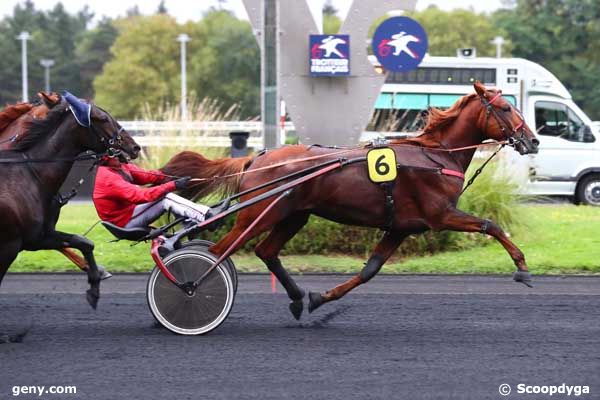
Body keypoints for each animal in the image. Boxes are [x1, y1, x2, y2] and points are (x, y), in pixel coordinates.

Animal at [0, 92, 141, 310]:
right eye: (103, 118)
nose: (135, 147)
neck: (29, 172)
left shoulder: (36, 237)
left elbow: (83, 242)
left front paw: (94, 285)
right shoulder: (10, 244)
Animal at [163, 82, 540, 318]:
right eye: (505, 107)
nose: (533, 141)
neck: (435, 156)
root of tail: (257, 158)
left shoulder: (401, 227)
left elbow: (369, 270)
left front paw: (319, 298)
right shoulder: (440, 214)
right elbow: (491, 225)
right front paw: (522, 268)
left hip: (293, 215)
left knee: (265, 251)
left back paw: (297, 299)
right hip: (258, 213)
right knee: (216, 252)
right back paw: (188, 289)